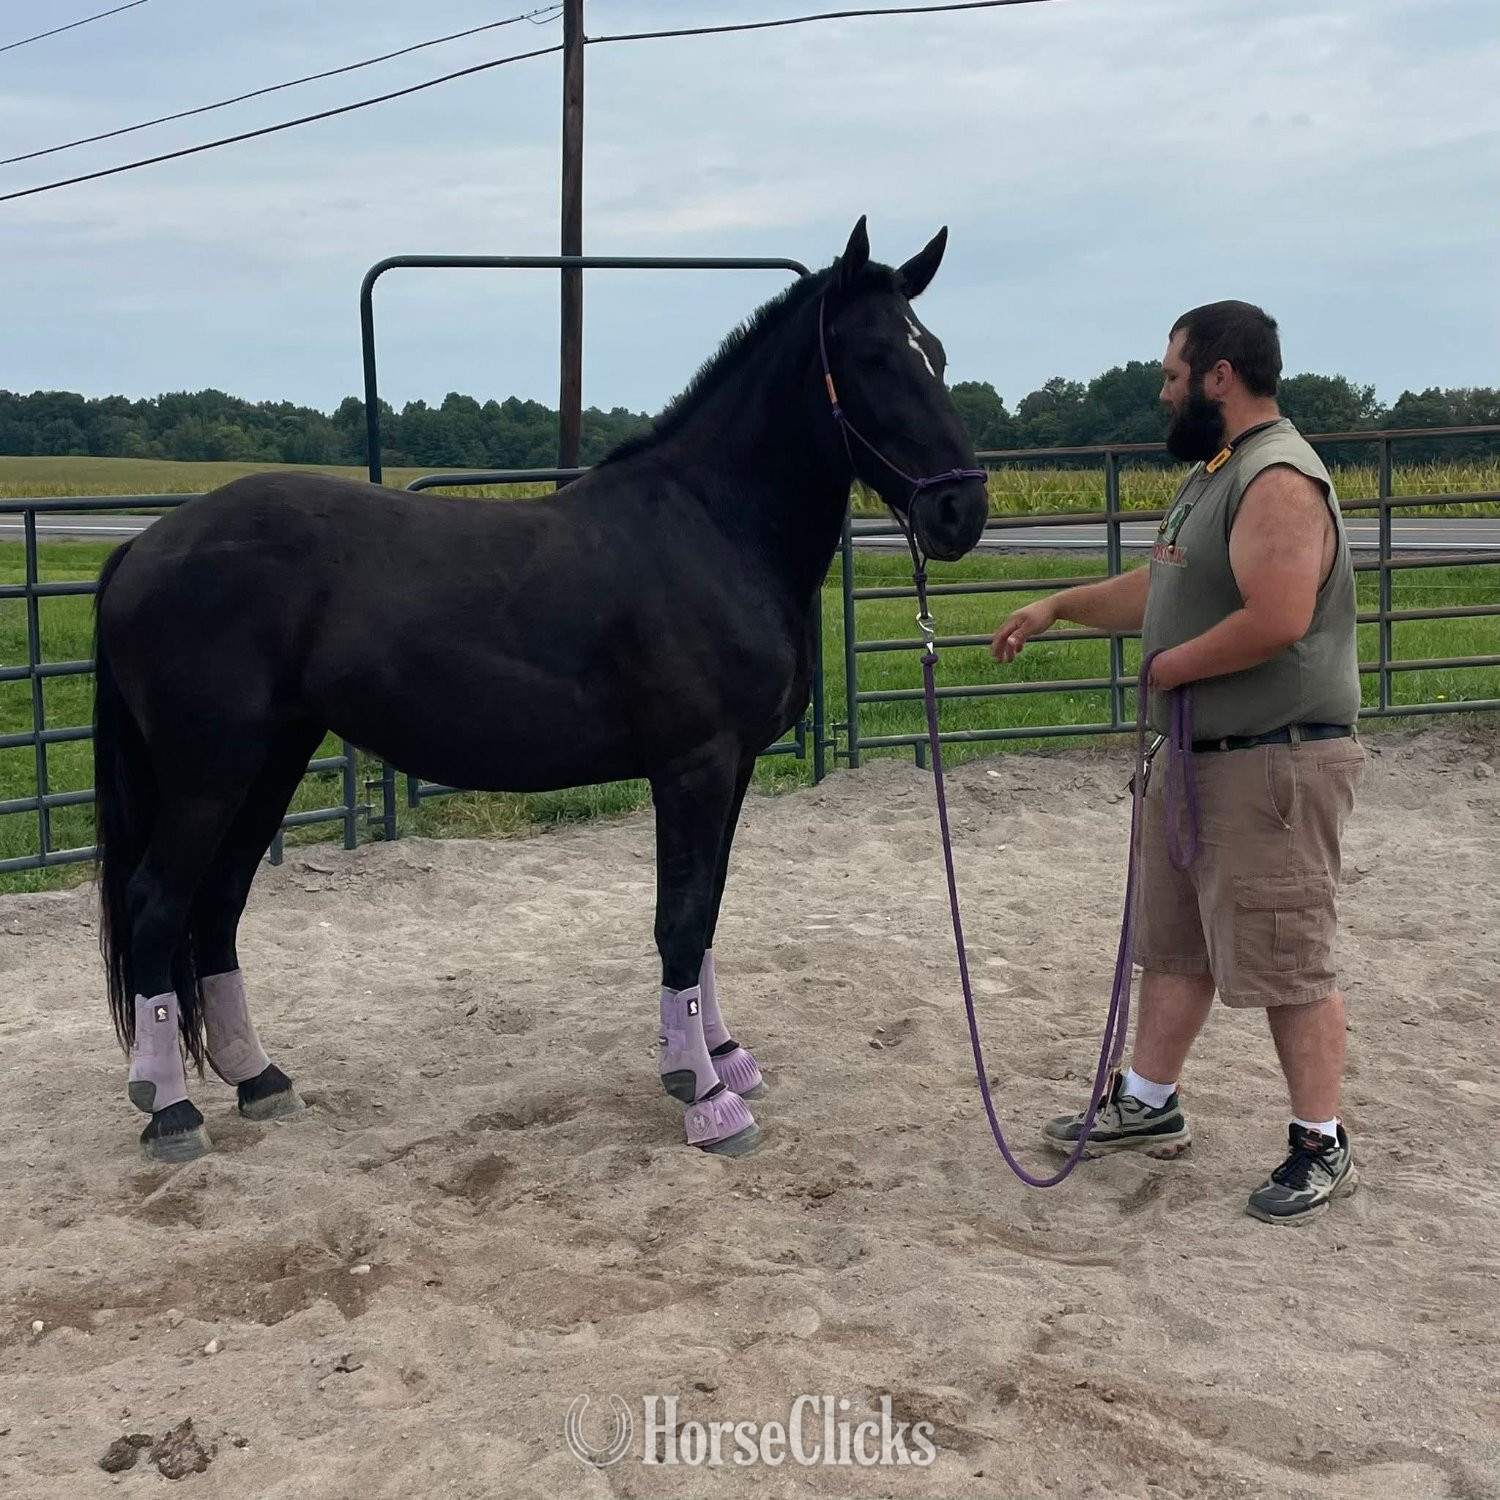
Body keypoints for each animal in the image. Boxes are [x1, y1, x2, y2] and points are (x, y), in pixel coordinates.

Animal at [91, 216, 991, 1165]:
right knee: (157, 909)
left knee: (218, 905)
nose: (961, 513)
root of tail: (142, 546)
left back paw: (260, 1080)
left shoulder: (735, 768)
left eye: (935, 352)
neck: (710, 525)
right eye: (875, 358)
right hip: (209, 774)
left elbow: (707, 912)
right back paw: (170, 1111)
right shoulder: (695, 767)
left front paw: (725, 1057)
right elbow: (679, 920)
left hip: (271, 761)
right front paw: (704, 1096)